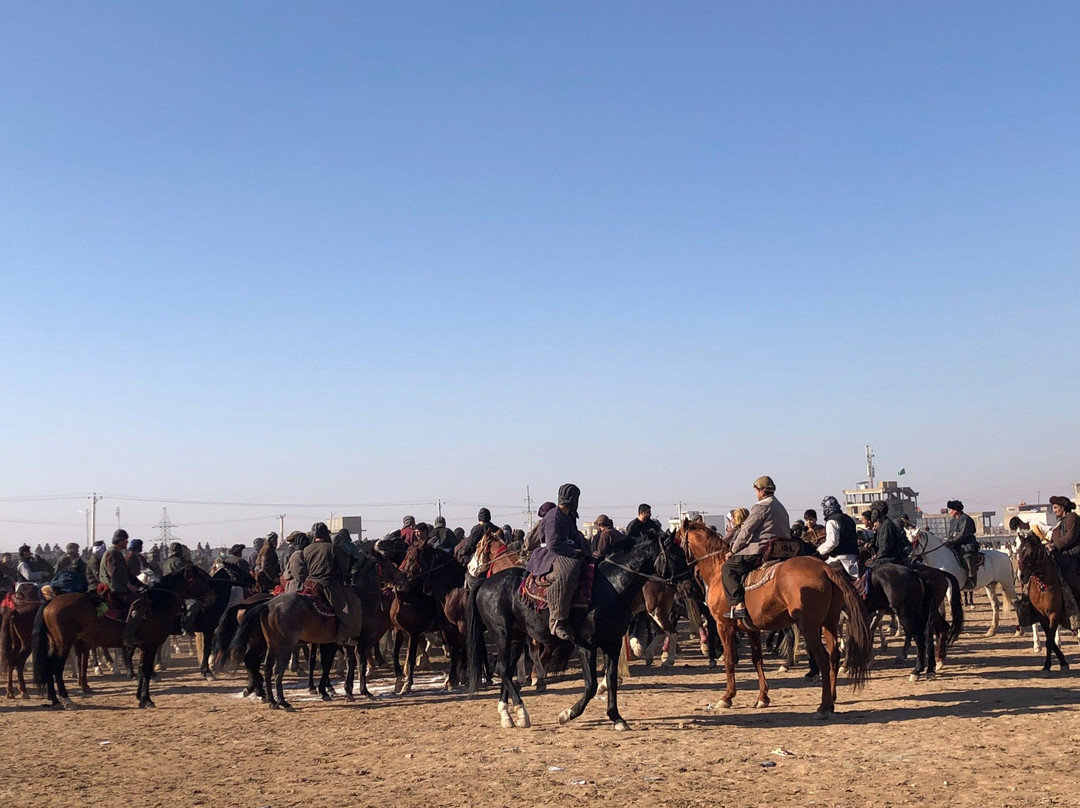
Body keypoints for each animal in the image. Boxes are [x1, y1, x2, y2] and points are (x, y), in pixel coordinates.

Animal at [32, 561, 213, 708]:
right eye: (203, 578)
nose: (214, 596)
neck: (157, 604)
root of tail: (51, 601)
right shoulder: (150, 645)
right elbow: (146, 670)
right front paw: (147, 700)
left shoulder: (143, 646)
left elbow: (142, 670)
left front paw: (140, 697)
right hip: (64, 643)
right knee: (56, 666)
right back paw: (66, 699)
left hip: (56, 642)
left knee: (48, 665)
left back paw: (54, 699)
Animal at [466, 529, 686, 730]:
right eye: (675, 555)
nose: (688, 583)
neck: (611, 587)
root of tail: (485, 583)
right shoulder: (587, 646)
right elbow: (591, 686)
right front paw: (567, 714)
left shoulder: (612, 644)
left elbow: (611, 679)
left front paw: (617, 718)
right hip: (502, 634)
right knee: (503, 668)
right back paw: (521, 712)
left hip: (516, 636)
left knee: (507, 668)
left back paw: (508, 715)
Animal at [678, 520, 872, 717]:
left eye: (676, 543)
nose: (687, 587)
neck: (718, 571)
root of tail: (825, 568)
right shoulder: (752, 629)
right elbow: (757, 659)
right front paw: (762, 697)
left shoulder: (723, 625)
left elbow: (729, 659)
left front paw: (727, 697)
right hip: (829, 624)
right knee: (833, 656)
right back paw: (831, 700)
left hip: (809, 627)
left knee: (823, 658)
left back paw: (823, 706)